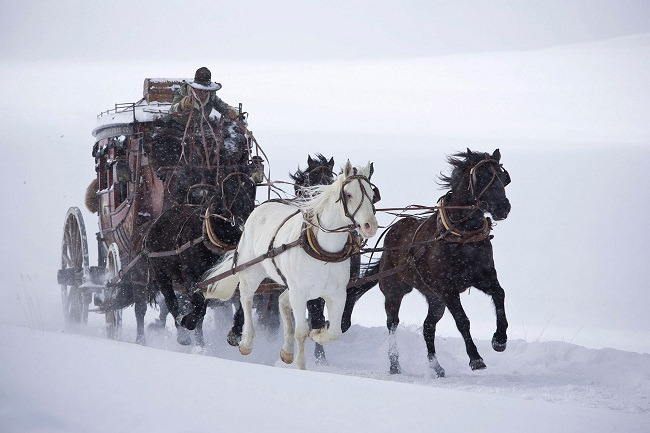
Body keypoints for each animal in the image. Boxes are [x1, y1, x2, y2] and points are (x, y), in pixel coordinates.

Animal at [204, 160, 380, 370]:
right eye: (349, 194)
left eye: (372, 195)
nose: (370, 226)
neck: (324, 251)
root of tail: (260, 208)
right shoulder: (300, 292)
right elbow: (301, 331)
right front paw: (301, 365)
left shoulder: (336, 293)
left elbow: (334, 331)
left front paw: (318, 334)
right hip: (252, 272)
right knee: (246, 298)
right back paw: (246, 342)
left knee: (281, 301)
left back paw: (287, 351)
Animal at [342, 148, 508, 374]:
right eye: (481, 177)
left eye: (503, 177)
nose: (504, 207)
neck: (461, 236)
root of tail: (391, 234)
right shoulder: (447, 289)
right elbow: (462, 321)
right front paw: (475, 358)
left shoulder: (483, 277)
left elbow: (500, 294)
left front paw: (499, 339)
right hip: (395, 290)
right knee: (392, 323)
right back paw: (394, 363)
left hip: (434, 299)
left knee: (428, 326)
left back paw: (436, 367)